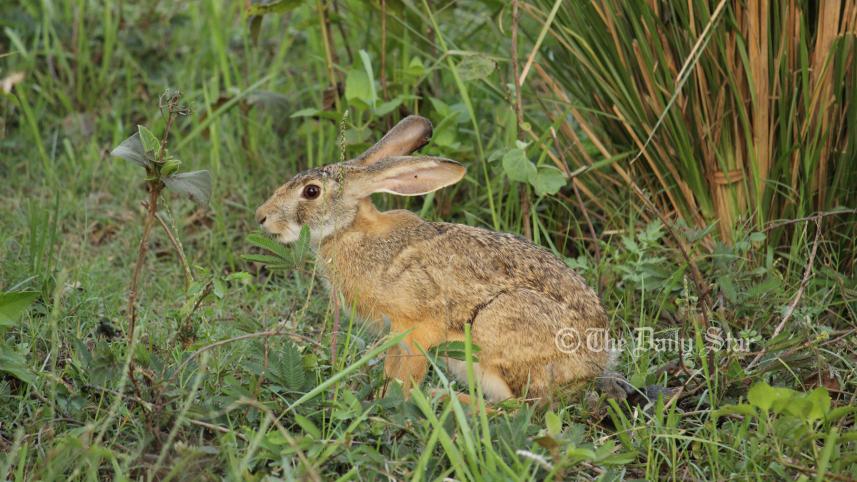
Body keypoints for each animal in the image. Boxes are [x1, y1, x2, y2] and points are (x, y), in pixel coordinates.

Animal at [256, 115, 613, 403]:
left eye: (311, 192)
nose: (261, 217)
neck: (350, 231)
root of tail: (594, 363)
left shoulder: (416, 327)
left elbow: (406, 374)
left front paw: (391, 401)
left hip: (495, 329)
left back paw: (444, 399)